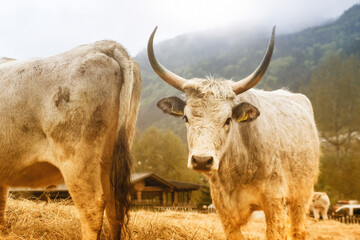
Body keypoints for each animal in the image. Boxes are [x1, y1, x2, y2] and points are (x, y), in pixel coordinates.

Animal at [148, 27, 320, 239]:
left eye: (228, 119)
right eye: (186, 118)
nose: (202, 160)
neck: (238, 168)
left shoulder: (274, 201)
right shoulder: (224, 209)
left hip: (301, 196)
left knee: (298, 229)